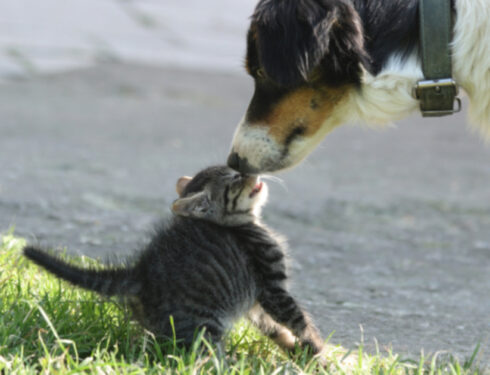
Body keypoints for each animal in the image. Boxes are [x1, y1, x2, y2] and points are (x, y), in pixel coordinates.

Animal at [23, 167, 326, 356]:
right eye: (234, 178)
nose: (250, 170)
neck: (243, 225)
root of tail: (141, 271)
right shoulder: (272, 288)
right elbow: (298, 320)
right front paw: (319, 349)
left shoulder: (256, 304)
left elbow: (276, 328)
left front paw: (299, 351)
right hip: (205, 328)